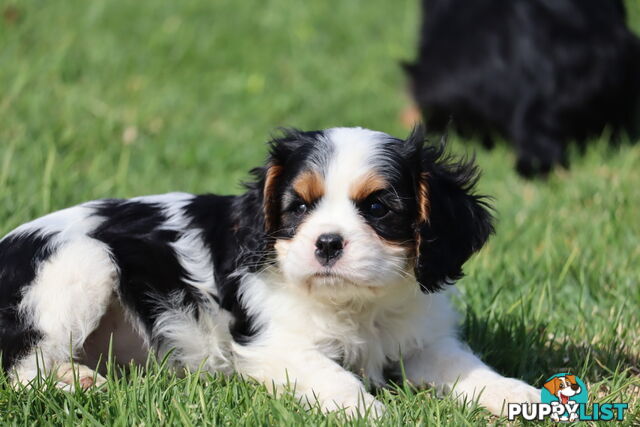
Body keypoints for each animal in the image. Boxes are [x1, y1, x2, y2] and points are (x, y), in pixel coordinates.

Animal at [0, 127, 540, 418]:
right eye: (298, 207)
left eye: (378, 208)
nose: (327, 243)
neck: (355, 304)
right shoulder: (271, 344)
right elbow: (333, 375)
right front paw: (368, 412)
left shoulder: (423, 340)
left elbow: (468, 368)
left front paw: (523, 397)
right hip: (83, 262)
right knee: (21, 366)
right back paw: (76, 383)